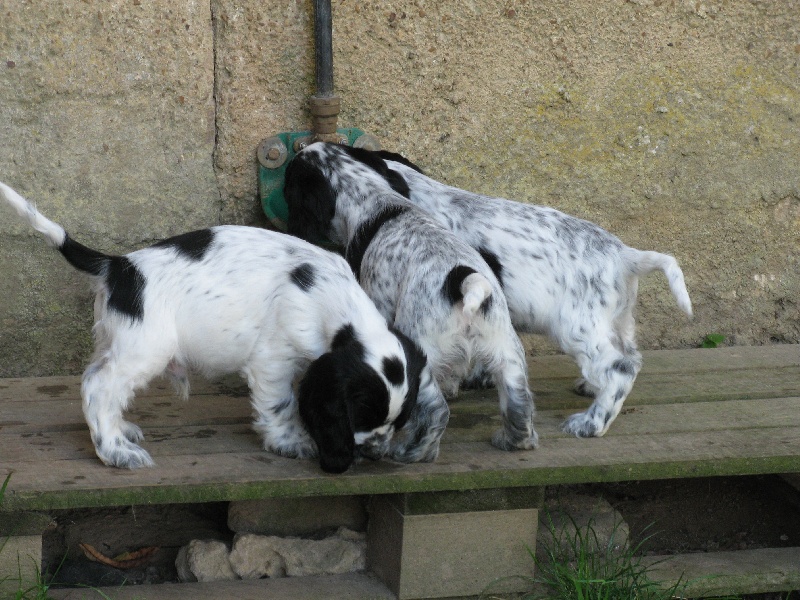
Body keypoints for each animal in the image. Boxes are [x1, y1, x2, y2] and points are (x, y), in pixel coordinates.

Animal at [0, 179, 444, 474]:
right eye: (361, 416)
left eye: (397, 421)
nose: (375, 452)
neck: (331, 298)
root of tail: (120, 266)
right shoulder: (273, 359)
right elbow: (280, 404)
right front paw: (290, 441)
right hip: (146, 348)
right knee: (99, 387)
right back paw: (114, 452)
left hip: (115, 341)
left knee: (98, 381)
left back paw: (120, 430)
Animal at [284, 143, 540, 452]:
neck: (376, 199)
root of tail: (463, 283)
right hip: (507, 356)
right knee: (519, 406)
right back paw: (514, 441)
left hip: (423, 355)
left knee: (435, 412)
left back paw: (412, 452)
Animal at [368, 152, 692, 438]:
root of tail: (625, 255)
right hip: (618, 321)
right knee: (631, 358)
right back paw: (591, 388)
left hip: (577, 328)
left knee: (620, 370)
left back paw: (590, 423)